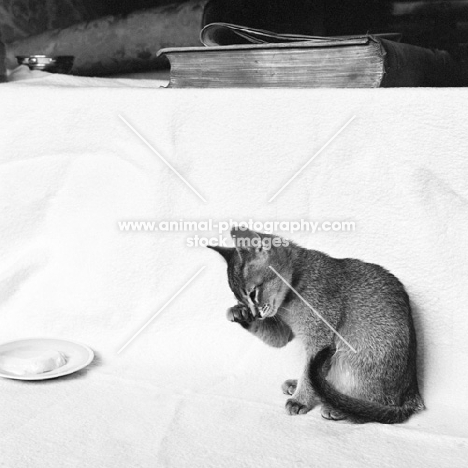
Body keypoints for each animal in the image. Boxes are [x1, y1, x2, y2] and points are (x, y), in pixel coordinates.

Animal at [208, 227, 424, 424]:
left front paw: (301, 400)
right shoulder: (283, 331)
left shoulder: (320, 338)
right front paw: (240, 313)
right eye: (242, 300)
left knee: (375, 409)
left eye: (253, 293)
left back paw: (340, 408)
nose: (255, 313)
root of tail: (412, 390)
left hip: (355, 355)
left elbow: (308, 372)